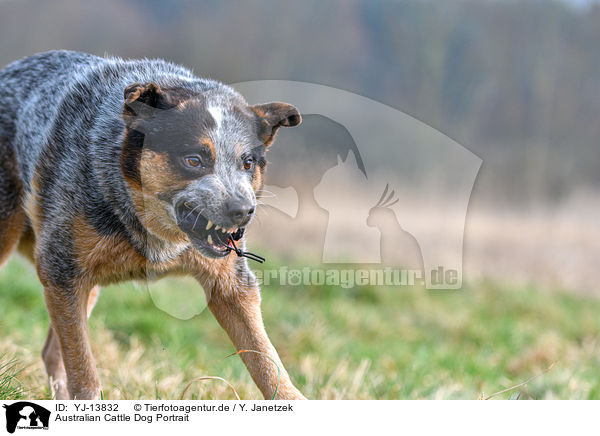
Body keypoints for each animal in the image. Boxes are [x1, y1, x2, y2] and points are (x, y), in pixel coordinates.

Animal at [0, 50, 302, 398]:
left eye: (248, 162)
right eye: (194, 159)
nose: (242, 210)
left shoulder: (231, 286)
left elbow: (266, 361)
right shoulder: (61, 273)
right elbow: (84, 372)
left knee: (52, 352)